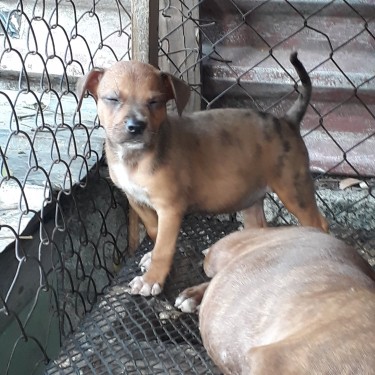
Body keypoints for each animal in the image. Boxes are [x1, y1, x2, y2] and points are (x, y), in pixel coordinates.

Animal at [77, 53, 328, 296]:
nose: (136, 126)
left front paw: (151, 280)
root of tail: (287, 121)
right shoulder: (137, 200)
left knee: (319, 224)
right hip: (252, 198)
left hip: (294, 188)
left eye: (155, 102)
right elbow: (154, 232)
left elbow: (163, 248)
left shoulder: (170, 207)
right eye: (112, 99)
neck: (135, 157)